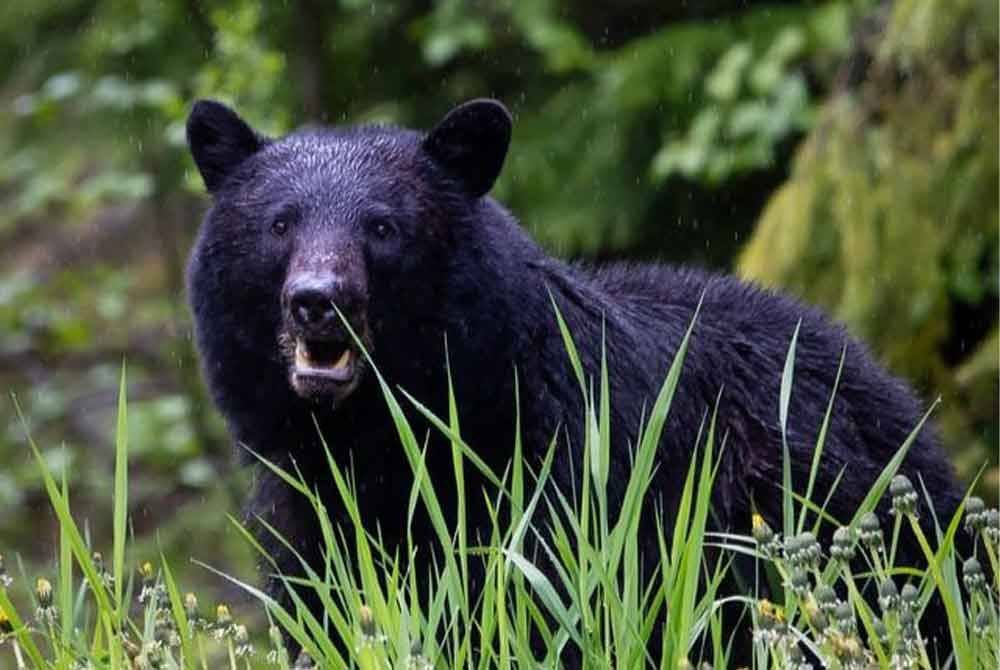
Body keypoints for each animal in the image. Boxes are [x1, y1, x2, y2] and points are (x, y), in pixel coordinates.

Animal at [184, 97, 964, 664]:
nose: (318, 299)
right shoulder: (304, 512)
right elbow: (324, 612)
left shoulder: (567, 477)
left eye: (382, 227)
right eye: (280, 224)